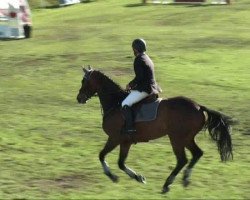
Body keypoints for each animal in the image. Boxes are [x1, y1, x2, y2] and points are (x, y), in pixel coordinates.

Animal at [75, 66, 232, 193]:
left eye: (84, 81)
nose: (79, 98)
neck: (115, 103)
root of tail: (199, 107)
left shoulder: (114, 138)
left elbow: (102, 155)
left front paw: (112, 176)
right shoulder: (125, 142)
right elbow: (121, 163)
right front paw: (138, 177)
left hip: (177, 138)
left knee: (182, 159)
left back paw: (167, 184)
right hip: (187, 138)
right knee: (197, 154)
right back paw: (185, 179)